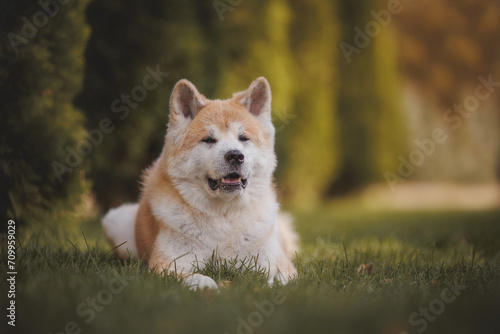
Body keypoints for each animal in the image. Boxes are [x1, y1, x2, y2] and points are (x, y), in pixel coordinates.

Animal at [101, 77, 296, 288]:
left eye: (243, 138)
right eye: (208, 140)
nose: (235, 155)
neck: (223, 216)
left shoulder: (282, 266)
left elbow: (276, 280)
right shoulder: (166, 266)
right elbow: (201, 278)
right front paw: (212, 287)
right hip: (116, 220)